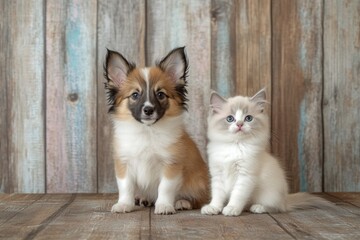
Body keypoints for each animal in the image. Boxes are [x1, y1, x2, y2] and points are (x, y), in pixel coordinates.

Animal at [103, 46, 208, 214]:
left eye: (160, 94)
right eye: (135, 95)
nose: (148, 110)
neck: (147, 131)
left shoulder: (171, 164)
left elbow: (165, 187)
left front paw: (164, 206)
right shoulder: (124, 162)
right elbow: (126, 186)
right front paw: (124, 204)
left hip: (198, 183)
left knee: (200, 199)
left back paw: (182, 202)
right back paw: (144, 199)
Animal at [201, 89, 330, 217]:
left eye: (248, 118)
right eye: (230, 118)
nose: (239, 124)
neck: (235, 146)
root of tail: (286, 200)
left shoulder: (246, 176)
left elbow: (237, 195)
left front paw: (232, 208)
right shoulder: (217, 175)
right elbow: (217, 195)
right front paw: (213, 207)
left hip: (271, 195)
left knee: (277, 208)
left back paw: (258, 207)